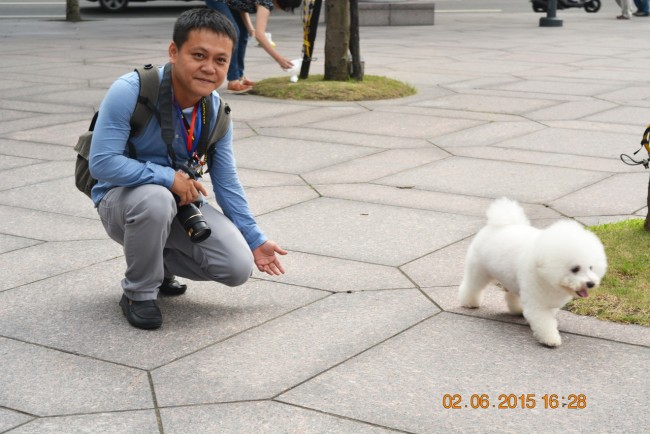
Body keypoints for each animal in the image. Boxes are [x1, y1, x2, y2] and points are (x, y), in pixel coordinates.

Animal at [458, 198, 604, 348]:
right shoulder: (537, 301)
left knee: (512, 295)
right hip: (479, 270)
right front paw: (550, 339)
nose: (591, 283)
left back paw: (517, 309)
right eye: (575, 269)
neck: (544, 271)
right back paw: (469, 302)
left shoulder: (548, 299)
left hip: (513, 279)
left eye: (591, 267)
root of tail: (499, 224)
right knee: (472, 286)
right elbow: (544, 321)